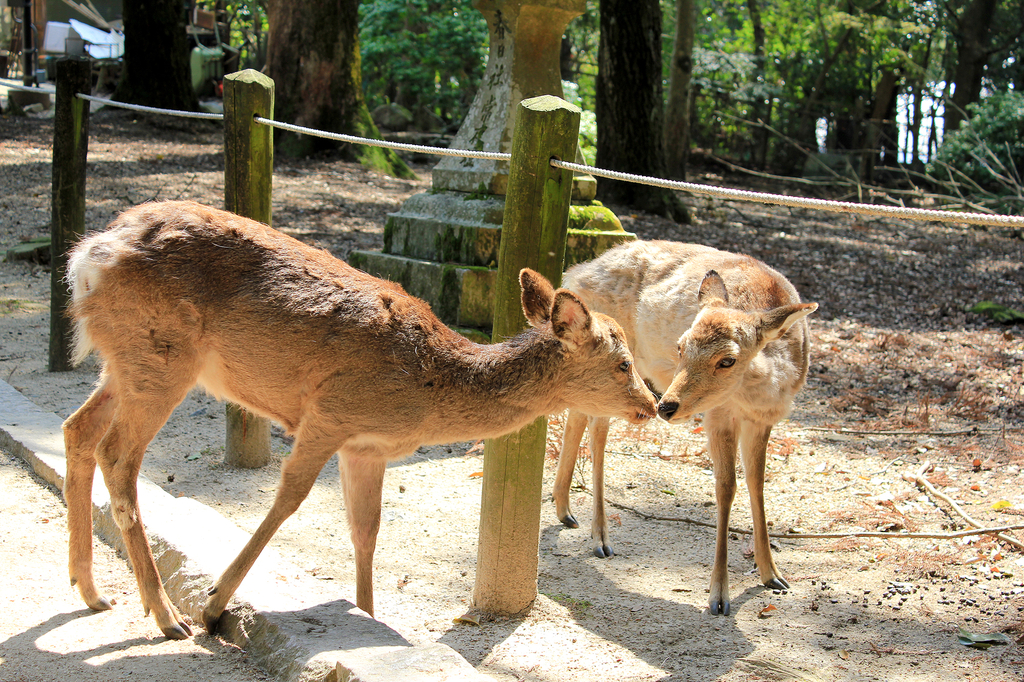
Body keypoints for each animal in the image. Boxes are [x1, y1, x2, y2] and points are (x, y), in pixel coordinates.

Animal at [64, 200, 655, 638]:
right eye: (624, 363)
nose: (652, 406)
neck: (428, 391)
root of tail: (86, 259)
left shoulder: (366, 446)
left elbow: (366, 530)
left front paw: (368, 615)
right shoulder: (329, 413)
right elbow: (289, 499)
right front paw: (214, 606)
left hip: (124, 361)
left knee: (78, 429)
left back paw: (92, 592)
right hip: (159, 358)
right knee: (117, 456)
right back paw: (168, 617)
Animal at [552, 240, 815, 614]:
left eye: (728, 359)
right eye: (680, 345)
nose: (666, 405)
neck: (763, 391)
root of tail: (575, 272)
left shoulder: (763, 419)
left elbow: (757, 483)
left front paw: (773, 576)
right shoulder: (719, 413)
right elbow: (726, 487)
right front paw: (719, 597)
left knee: (578, 414)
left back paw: (565, 511)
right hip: (609, 367)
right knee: (598, 431)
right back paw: (600, 539)